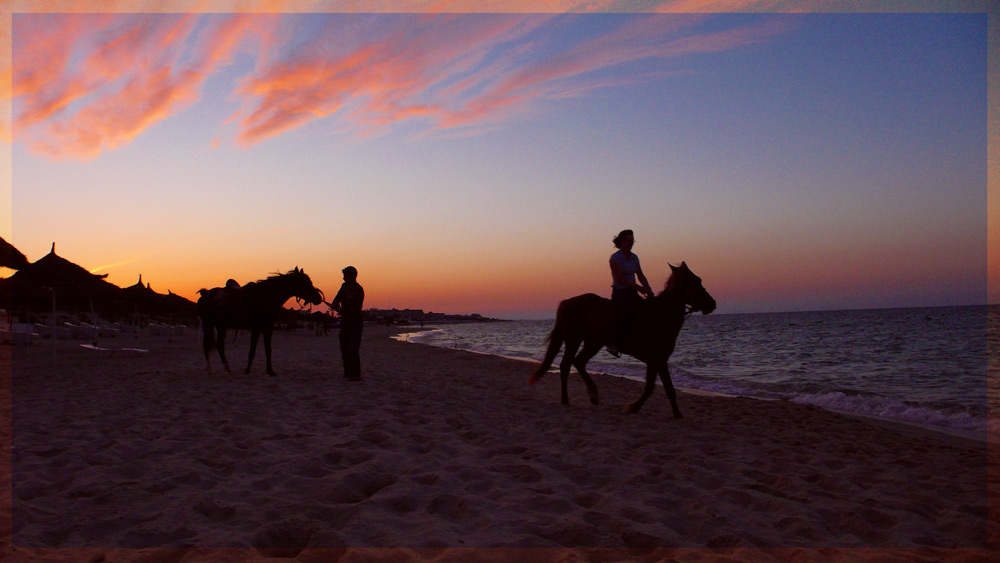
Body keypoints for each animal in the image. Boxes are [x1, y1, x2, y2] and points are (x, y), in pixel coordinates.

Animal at [528, 262, 716, 416]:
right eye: (691, 281)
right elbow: (663, 388)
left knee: (577, 362)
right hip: (576, 340)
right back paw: (573, 398)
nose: (712, 304)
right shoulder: (658, 359)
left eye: (698, 279)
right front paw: (636, 407)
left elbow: (654, 387)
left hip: (591, 342)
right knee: (567, 365)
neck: (660, 315)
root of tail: (567, 302)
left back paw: (589, 396)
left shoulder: (656, 360)